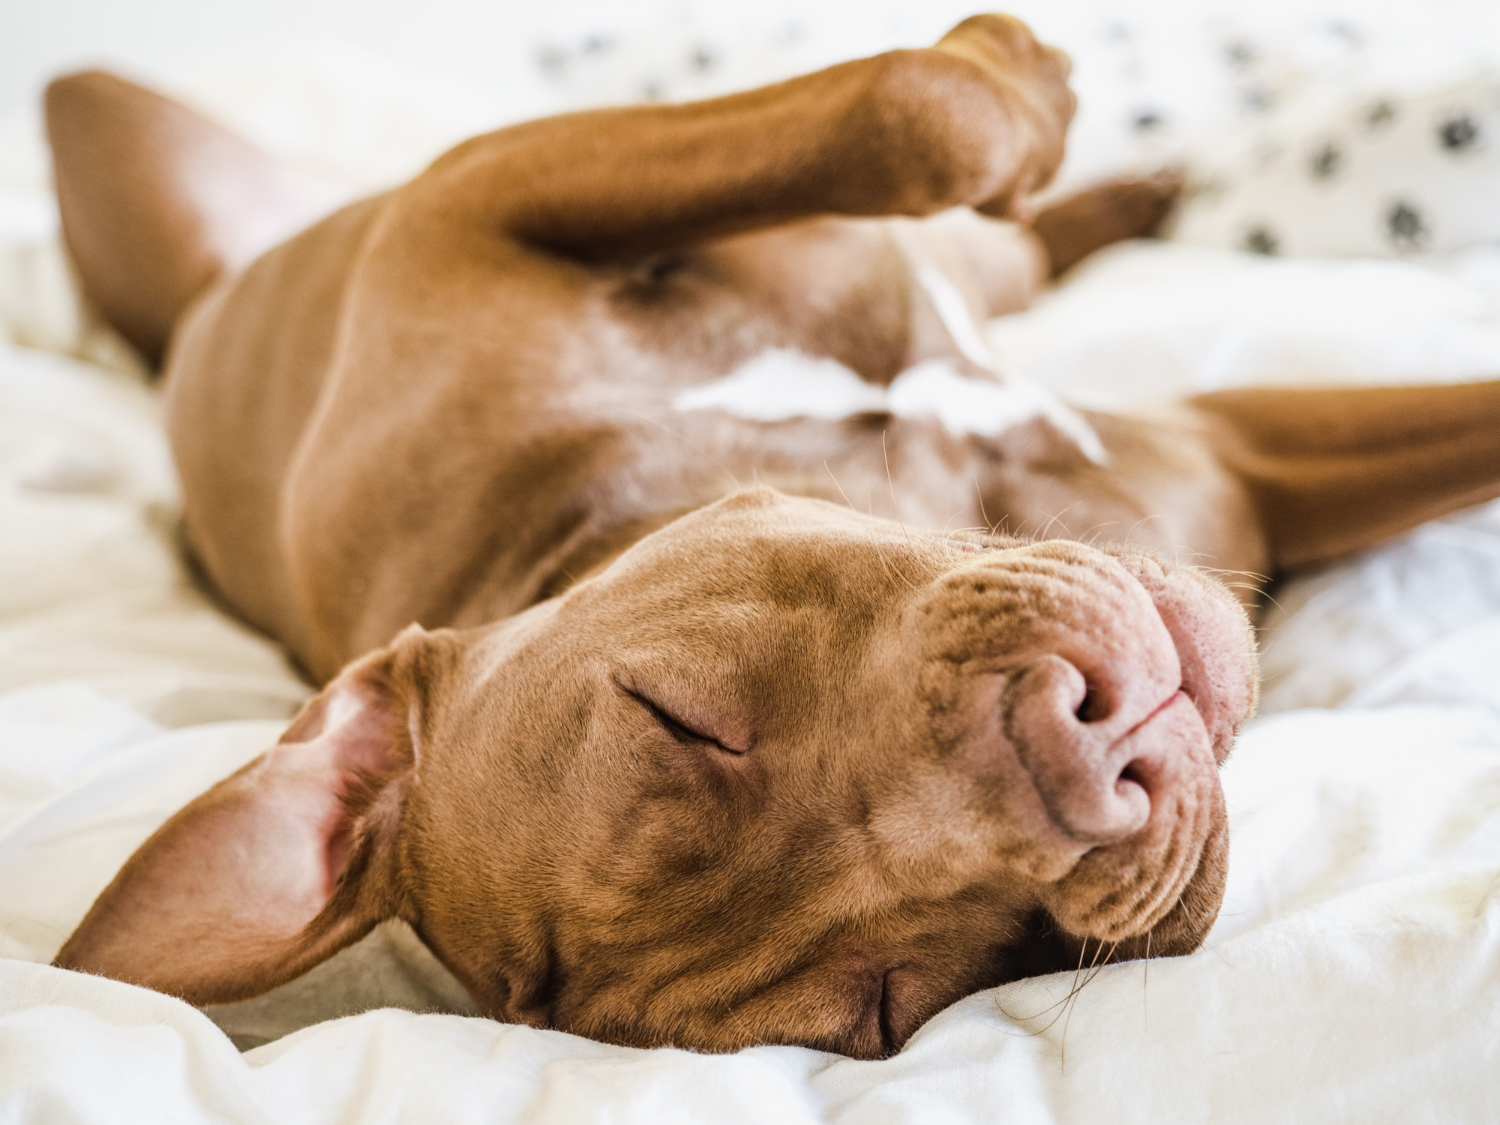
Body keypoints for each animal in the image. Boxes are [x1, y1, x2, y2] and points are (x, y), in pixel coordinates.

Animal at [43, 17, 1500, 1062]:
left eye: (673, 712)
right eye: (894, 1004)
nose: (1086, 746)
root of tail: (199, 300)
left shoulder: (477, 194)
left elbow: (922, 106)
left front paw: (1023, 80)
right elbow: (927, 112)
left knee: (1001, 234)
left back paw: (1108, 192)